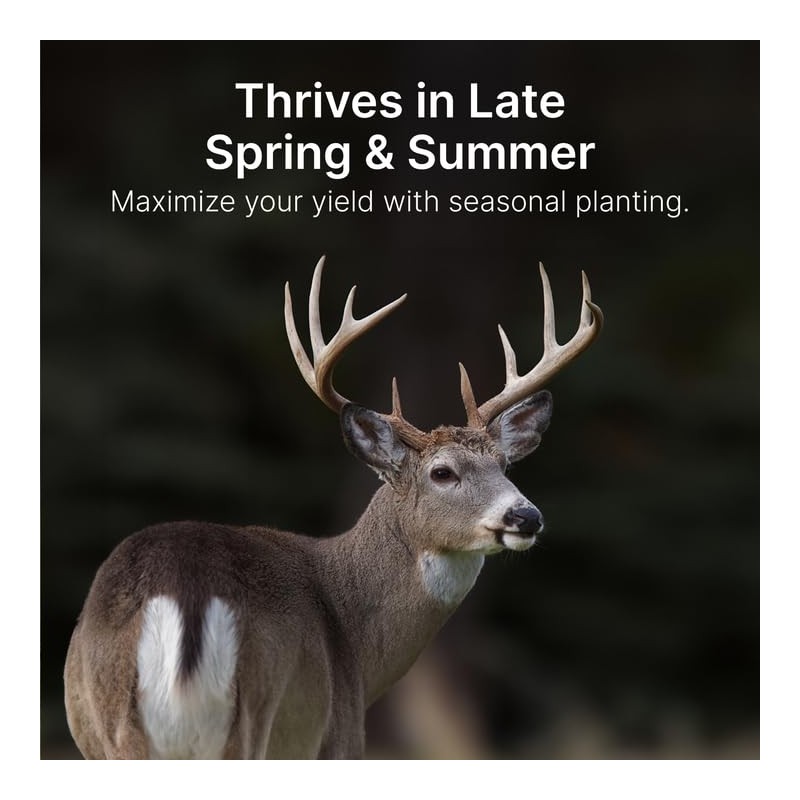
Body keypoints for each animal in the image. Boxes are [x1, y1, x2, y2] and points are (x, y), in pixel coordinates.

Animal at [63, 255, 603, 759]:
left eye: (505, 464)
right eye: (442, 472)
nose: (526, 517)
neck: (357, 646)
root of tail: (183, 591)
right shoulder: (337, 734)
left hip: (111, 728)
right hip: (253, 713)